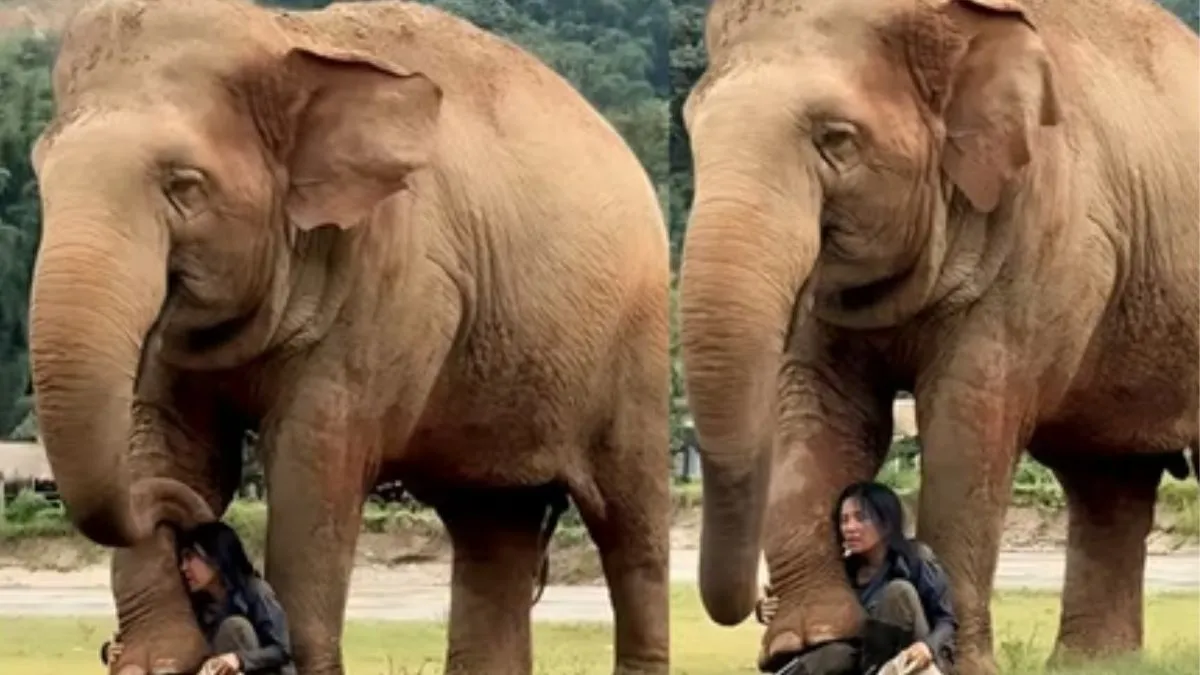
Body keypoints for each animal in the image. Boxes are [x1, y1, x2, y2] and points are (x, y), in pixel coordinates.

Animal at [26, 0, 671, 673]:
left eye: (185, 185)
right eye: (40, 176)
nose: (198, 530)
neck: (290, 36)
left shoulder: (400, 286)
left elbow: (314, 463)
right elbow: (163, 439)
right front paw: (156, 658)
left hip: (637, 349)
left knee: (630, 525)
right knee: (492, 527)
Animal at [676, 0, 1198, 673]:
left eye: (836, 138)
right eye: (691, 130)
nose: (758, 607)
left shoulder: (1050, 237)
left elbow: (966, 421)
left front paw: (958, 662)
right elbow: (816, 408)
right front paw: (809, 643)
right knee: (1107, 478)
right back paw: (1095, 665)